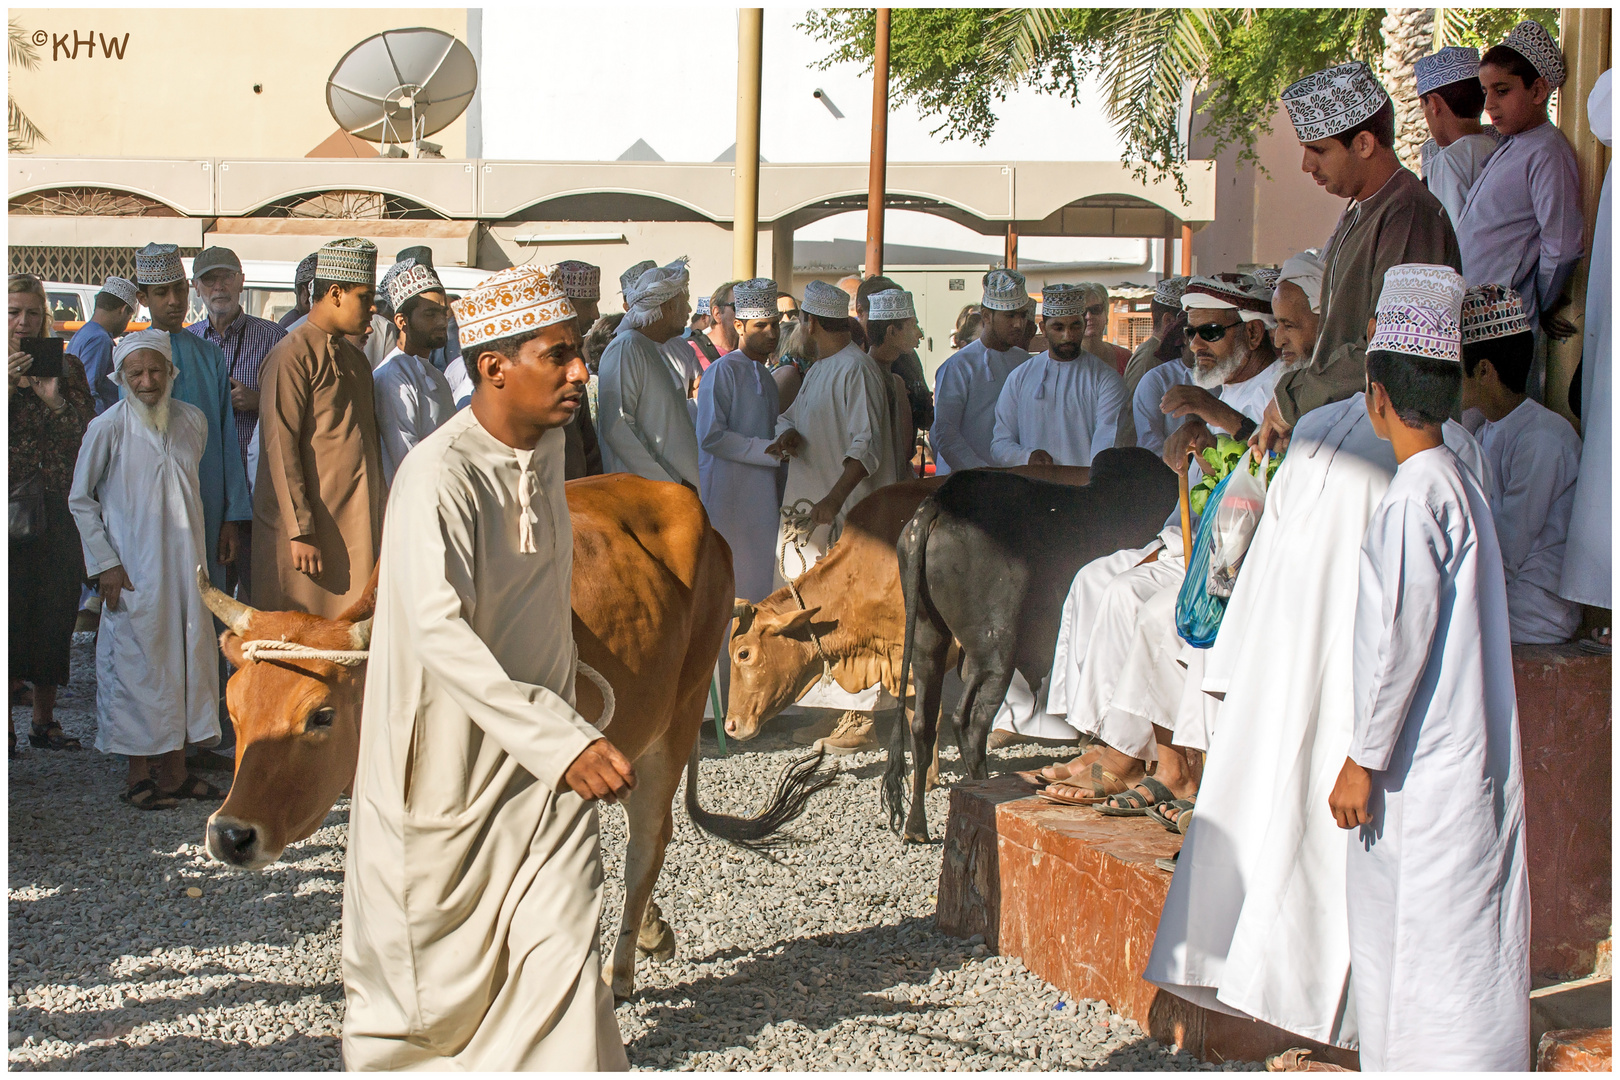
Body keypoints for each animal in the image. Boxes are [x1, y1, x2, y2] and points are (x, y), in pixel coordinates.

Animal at [200, 476, 829, 1003]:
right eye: (233, 708)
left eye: (321, 715)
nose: (231, 834)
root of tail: (683, 498)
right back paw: (651, 932)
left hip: (679, 715)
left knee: (648, 841)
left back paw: (622, 970)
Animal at [887, 446, 1179, 841]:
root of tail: (939, 503)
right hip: (994, 649)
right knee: (970, 722)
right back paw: (984, 791)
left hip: (927, 638)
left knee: (923, 723)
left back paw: (917, 825)